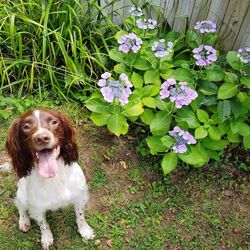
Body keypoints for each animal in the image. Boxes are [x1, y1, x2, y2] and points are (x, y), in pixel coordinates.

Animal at [5, 109, 94, 250]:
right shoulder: (37, 208)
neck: (54, 177)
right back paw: (24, 221)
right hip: (21, 194)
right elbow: (43, 224)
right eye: (26, 126)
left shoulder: (80, 196)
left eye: (53, 122)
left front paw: (85, 230)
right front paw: (47, 239)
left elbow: (80, 216)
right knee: (20, 207)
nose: (42, 138)